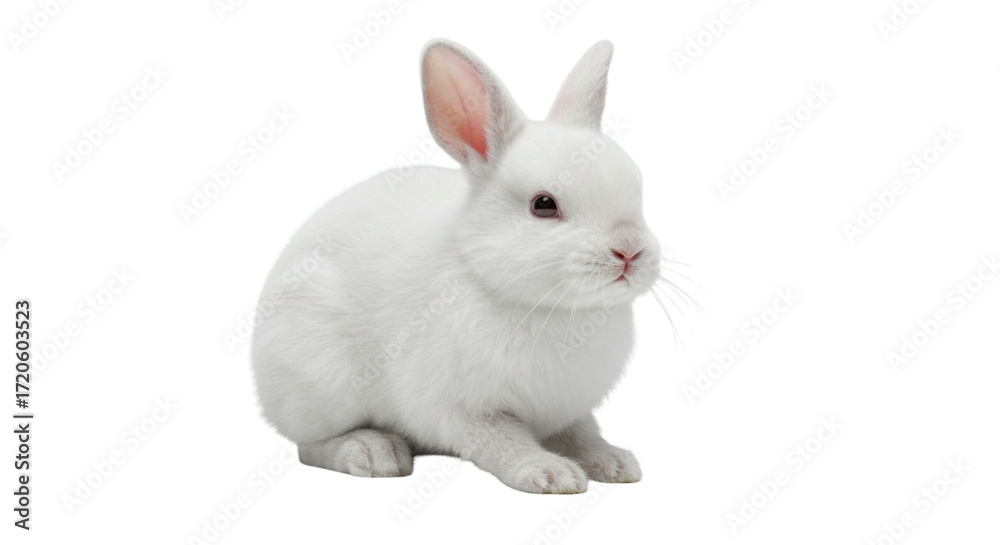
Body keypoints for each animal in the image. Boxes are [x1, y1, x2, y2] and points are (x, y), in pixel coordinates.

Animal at [251, 38, 661, 494]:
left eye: (636, 188)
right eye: (543, 205)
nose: (629, 252)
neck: (548, 307)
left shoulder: (569, 410)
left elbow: (583, 435)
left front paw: (616, 464)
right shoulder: (464, 408)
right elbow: (502, 441)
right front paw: (550, 474)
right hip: (321, 386)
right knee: (309, 445)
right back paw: (375, 453)